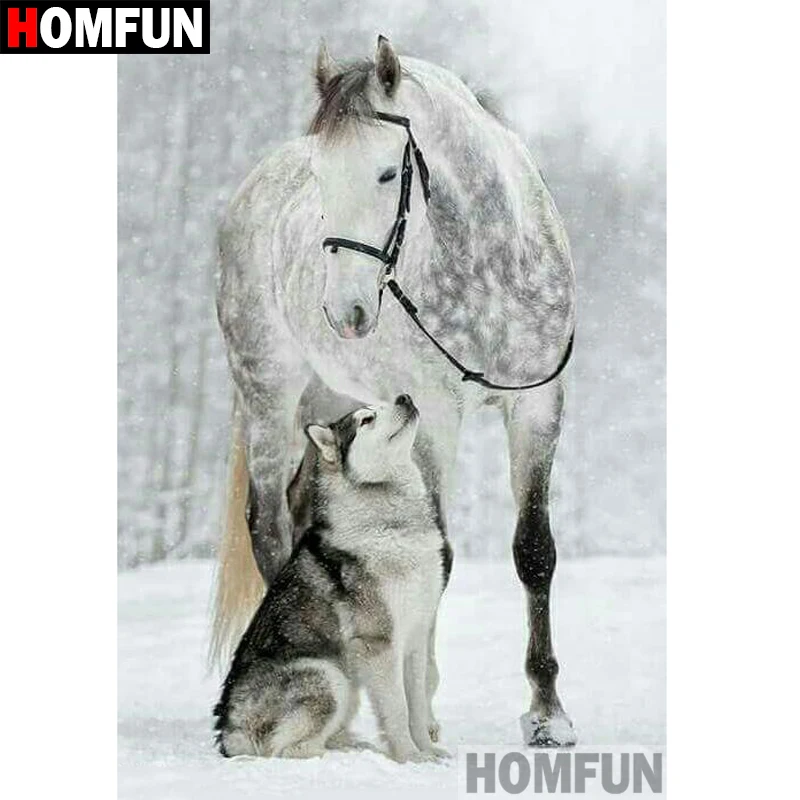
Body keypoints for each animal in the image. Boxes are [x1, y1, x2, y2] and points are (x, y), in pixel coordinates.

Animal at [211, 36, 577, 747]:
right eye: (321, 176)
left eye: (387, 174)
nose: (346, 311)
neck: (491, 266)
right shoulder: (435, 417)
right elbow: (440, 554)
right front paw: (424, 709)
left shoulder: (537, 407)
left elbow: (534, 552)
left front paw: (548, 714)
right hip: (269, 399)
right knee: (268, 528)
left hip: (329, 407)